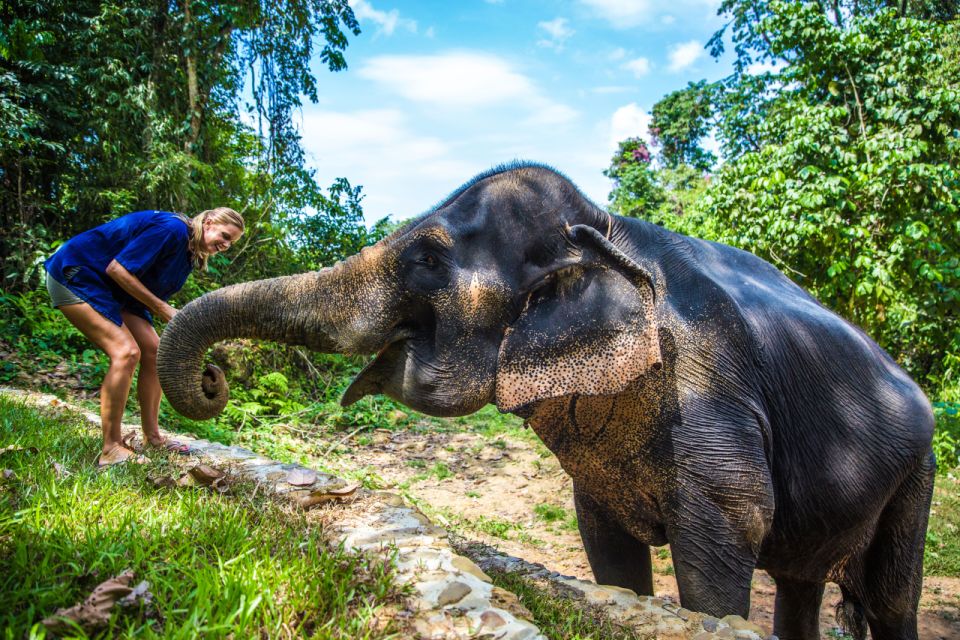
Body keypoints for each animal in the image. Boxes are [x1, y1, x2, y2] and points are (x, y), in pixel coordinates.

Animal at [158, 163, 934, 640]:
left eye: (427, 258)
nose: (214, 379)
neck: (608, 227)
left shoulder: (713, 390)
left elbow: (725, 535)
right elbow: (609, 551)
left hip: (918, 472)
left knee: (891, 598)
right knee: (802, 587)